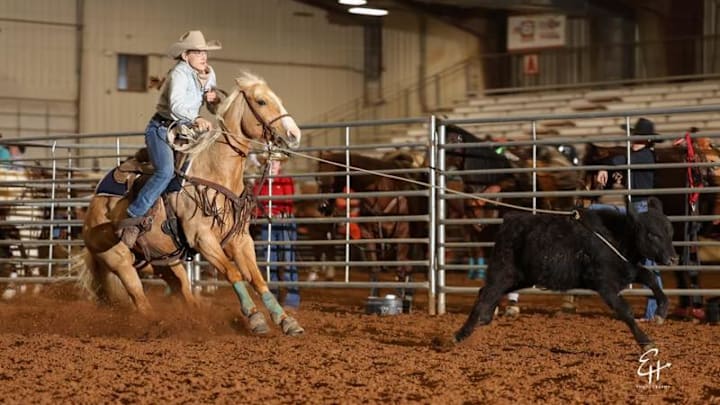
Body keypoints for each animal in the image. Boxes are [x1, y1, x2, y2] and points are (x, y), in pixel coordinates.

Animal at [77, 72, 304, 336]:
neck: (215, 172)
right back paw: (157, 325)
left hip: (166, 263)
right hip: (120, 261)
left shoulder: (240, 239)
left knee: (184, 291)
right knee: (139, 298)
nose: (294, 134)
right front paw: (255, 318)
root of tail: (93, 210)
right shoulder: (203, 239)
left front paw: (285, 320)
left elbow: (257, 278)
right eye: (261, 101)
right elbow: (233, 272)